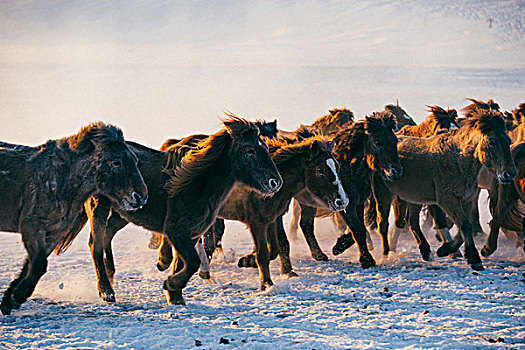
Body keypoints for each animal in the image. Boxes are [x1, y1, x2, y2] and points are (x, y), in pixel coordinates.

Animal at [0, 123, 147, 314]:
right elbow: (38, 265)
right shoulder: (32, 228)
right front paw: (15, 298)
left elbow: (30, 267)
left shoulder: (52, 234)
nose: (141, 196)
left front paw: (8, 299)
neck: (60, 179)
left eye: (135, 161)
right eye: (116, 161)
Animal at [53, 116, 282, 304]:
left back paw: (110, 276)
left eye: (265, 147)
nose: (275, 183)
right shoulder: (177, 232)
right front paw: (171, 285)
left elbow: (182, 263)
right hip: (99, 208)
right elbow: (192, 262)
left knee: (107, 235)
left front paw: (175, 295)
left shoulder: (190, 233)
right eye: (250, 150)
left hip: (122, 213)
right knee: (96, 244)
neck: (196, 183)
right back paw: (106, 291)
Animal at [370, 109, 512, 270]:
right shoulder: (448, 201)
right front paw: (474, 258)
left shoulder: (466, 200)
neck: (458, 159)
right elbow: (464, 225)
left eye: (508, 140)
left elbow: (462, 229)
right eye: (491, 142)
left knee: (412, 222)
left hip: (412, 197)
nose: (508, 174)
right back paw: (386, 255)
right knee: (383, 223)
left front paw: (445, 249)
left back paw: (426, 252)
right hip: (384, 194)